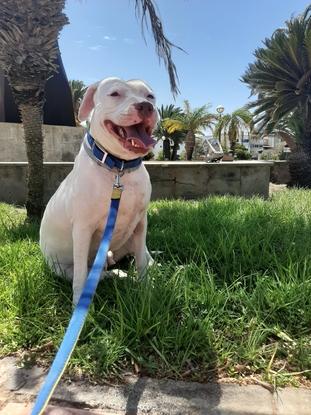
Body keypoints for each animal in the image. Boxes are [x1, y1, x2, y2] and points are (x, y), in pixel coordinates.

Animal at [40, 78, 160, 304]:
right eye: (115, 94)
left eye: (150, 96)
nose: (145, 106)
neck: (118, 167)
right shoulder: (82, 229)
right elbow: (80, 274)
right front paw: (79, 300)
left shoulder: (141, 223)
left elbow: (141, 259)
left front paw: (147, 288)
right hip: (63, 268)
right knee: (94, 273)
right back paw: (117, 275)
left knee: (141, 255)